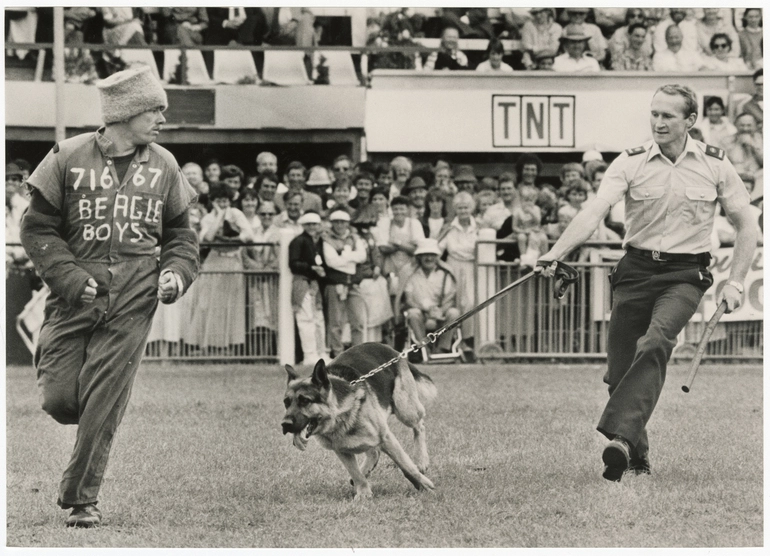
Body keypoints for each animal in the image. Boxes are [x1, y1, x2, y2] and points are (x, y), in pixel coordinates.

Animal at [282, 344, 438, 500]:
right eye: (286, 403)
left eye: (305, 401)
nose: (285, 424)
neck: (340, 415)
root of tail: (392, 350)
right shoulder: (341, 450)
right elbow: (355, 473)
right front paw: (363, 493)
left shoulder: (386, 438)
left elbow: (406, 466)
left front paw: (423, 485)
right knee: (374, 452)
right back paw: (366, 470)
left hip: (405, 409)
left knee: (419, 426)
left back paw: (421, 460)